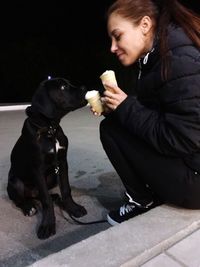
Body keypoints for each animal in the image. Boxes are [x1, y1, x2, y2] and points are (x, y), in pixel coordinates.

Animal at [7, 77, 87, 241]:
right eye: (63, 87)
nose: (84, 87)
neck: (50, 129)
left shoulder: (62, 162)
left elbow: (66, 189)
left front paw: (72, 208)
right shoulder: (37, 169)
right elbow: (45, 200)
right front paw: (48, 225)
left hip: (52, 178)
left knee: (39, 194)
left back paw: (55, 197)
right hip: (15, 182)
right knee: (20, 199)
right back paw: (28, 207)